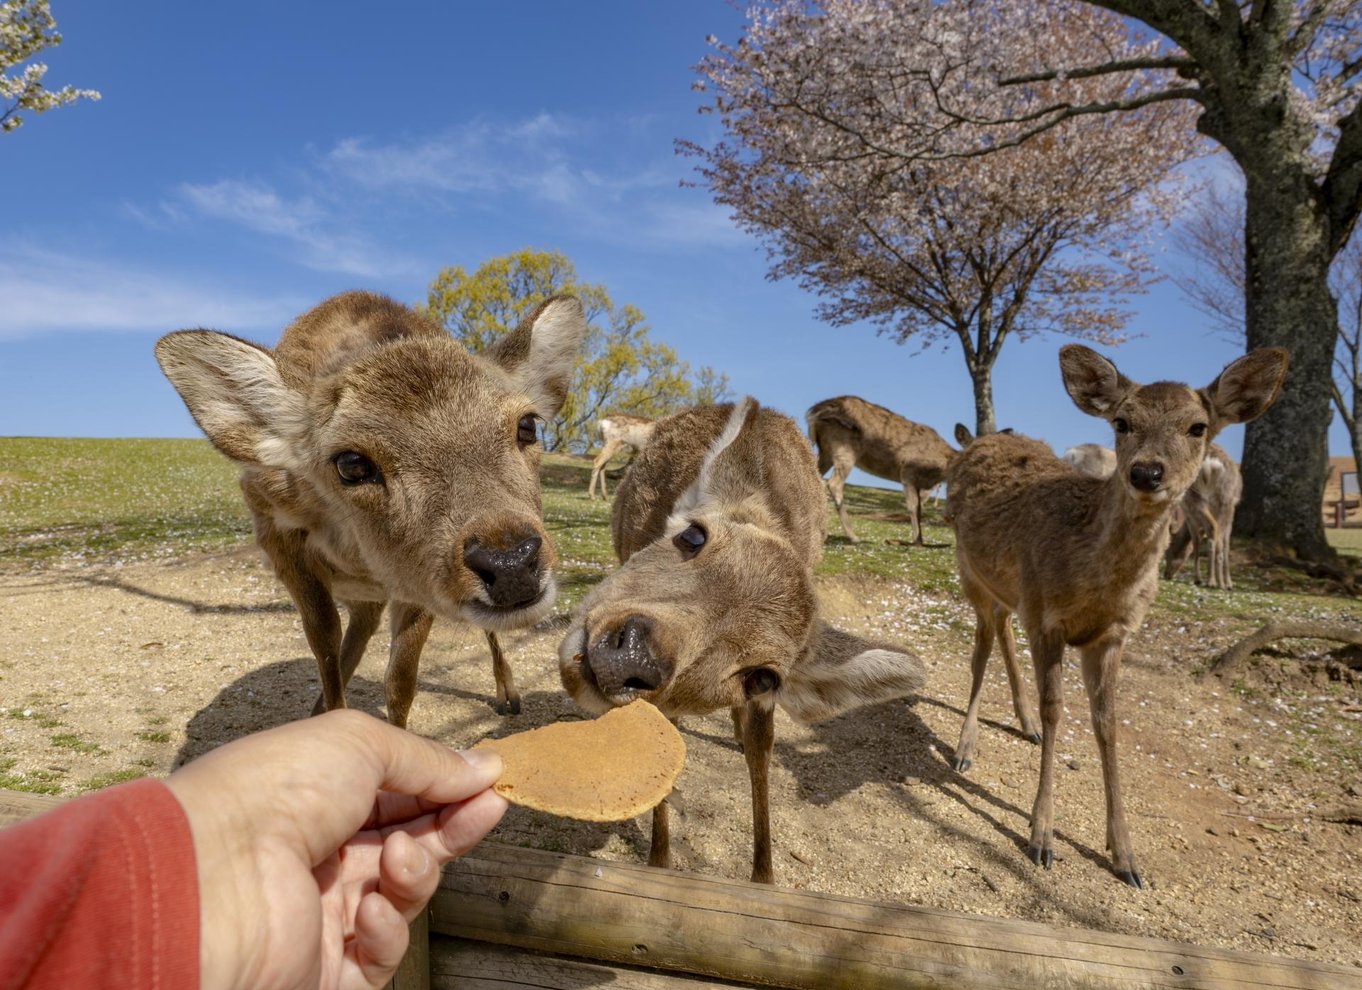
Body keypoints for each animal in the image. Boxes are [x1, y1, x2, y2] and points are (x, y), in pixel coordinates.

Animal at [156, 290, 588, 724]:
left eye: (527, 424)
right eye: (351, 463)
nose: (511, 561)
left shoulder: (416, 578)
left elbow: (400, 680)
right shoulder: (274, 529)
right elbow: (324, 640)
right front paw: (331, 717)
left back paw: (508, 694)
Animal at [555, 397, 926, 887]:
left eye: (762, 677)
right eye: (693, 535)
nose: (632, 654)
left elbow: (761, 750)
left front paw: (763, 878)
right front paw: (659, 862)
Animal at [800, 394, 953, 544]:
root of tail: (813, 413)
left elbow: (919, 507)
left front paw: (920, 540)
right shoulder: (908, 471)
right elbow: (913, 506)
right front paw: (917, 542)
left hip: (826, 451)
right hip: (844, 447)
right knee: (833, 484)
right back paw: (854, 537)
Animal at [1160, 446, 1247, 593]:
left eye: (1169, 551)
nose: (1167, 574)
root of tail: (1212, 464)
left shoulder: (1190, 517)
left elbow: (1195, 544)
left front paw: (1198, 579)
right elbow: (1224, 541)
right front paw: (1227, 582)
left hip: (1197, 498)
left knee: (1212, 528)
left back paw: (1211, 581)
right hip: (1227, 501)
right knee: (1222, 537)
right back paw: (1224, 583)